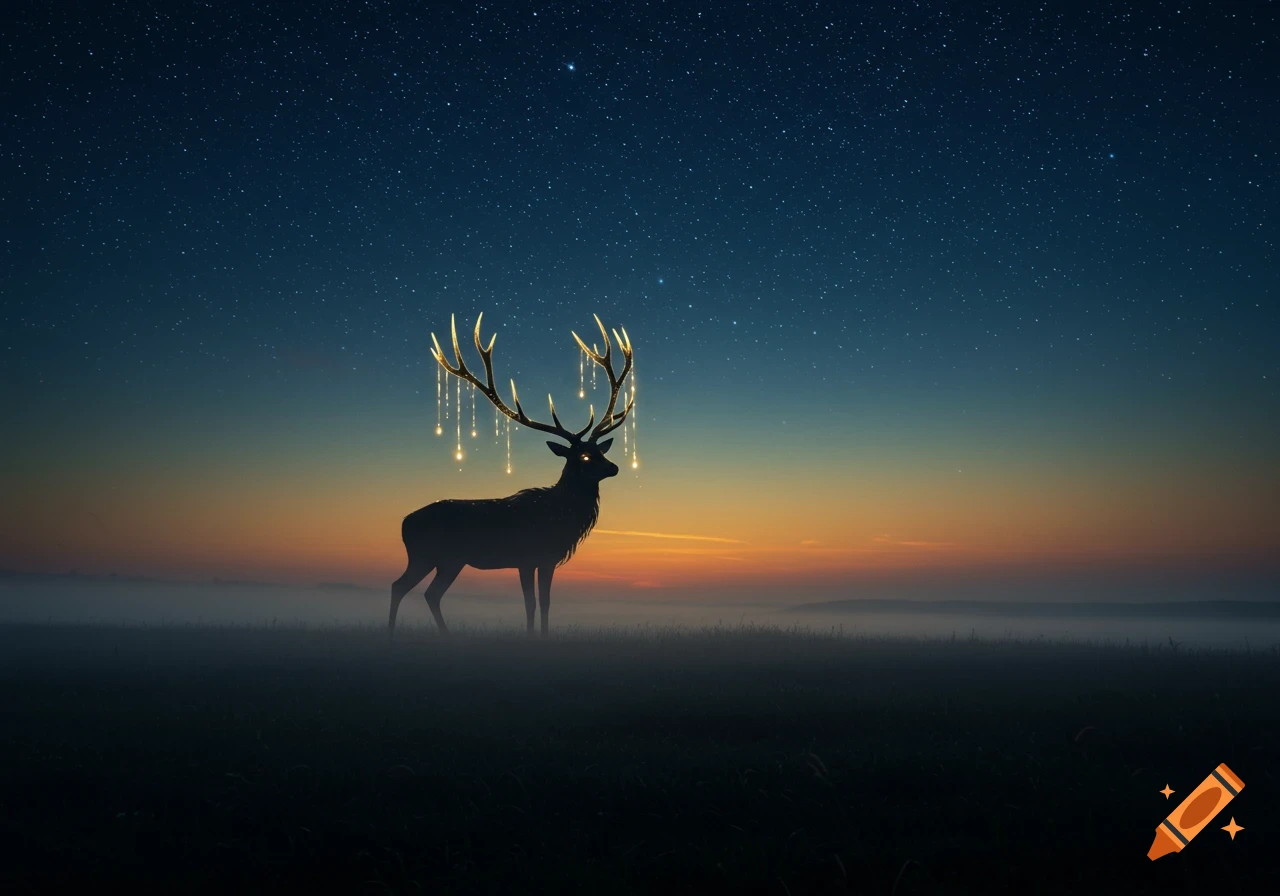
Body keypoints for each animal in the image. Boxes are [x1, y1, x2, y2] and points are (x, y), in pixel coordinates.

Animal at [389, 312, 634, 637]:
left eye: (600, 451)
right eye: (583, 456)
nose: (614, 467)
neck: (561, 517)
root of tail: (404, 523)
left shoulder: (547, 559)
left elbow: (546, 603)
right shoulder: (526, 558)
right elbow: (530, 604)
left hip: (449, 561)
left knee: (430, 593)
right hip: (426, 555)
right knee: (399, 586)